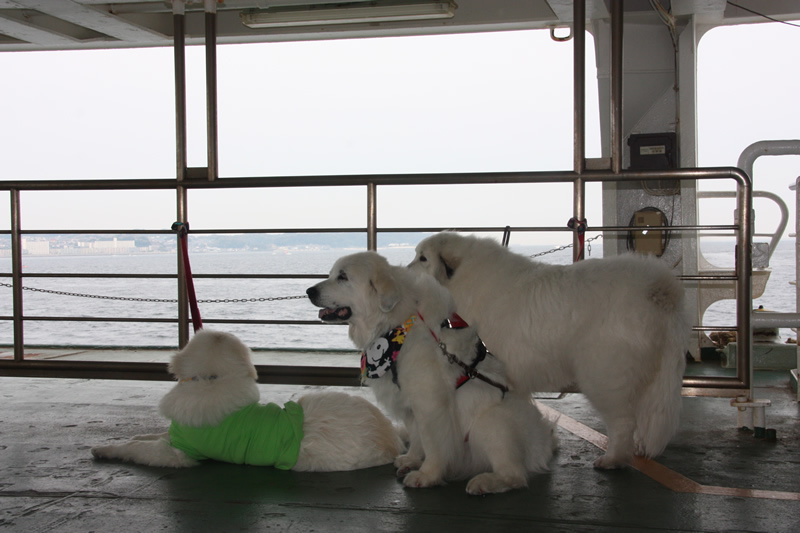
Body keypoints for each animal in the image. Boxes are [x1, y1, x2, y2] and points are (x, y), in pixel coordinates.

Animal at [91, 328, 404, 470]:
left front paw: (106, 449)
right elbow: (148, 436)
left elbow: (137, 448)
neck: (213, 380)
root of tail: (390, 435)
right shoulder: (175, 435)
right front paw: (124, 439)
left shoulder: (178, 454)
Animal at [306, 251, 556, 492]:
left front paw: (427, 475)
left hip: (492, 422)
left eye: (343, 277)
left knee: (515, 475)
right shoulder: (409, 404)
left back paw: (485, 482)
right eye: (332, 274)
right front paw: (412, 459)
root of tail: (543, 444)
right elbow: (417, 437)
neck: (397, 325)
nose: (309, 290)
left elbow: (433, 444)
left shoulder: (430, 404)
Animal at [410, 231, 692, 468]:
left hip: (605, 375)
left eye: (423, 258)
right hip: (653, 376)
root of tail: (658, 288)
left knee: (622, 422)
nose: (403, 270)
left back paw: (612, 459)